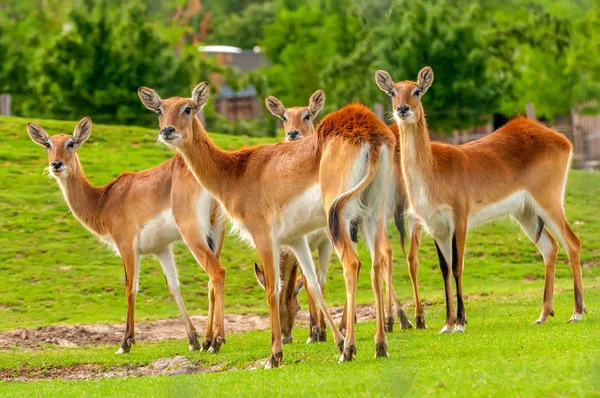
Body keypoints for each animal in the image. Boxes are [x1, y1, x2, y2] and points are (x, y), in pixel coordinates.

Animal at [25, 119, 229, 354]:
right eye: (48, 144)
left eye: (71, 143)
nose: (56, 164)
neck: (103, 200)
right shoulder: (161, 248)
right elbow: (173, 286)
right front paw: (193, 340)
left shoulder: (127, 245)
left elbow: (130, 287)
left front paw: (125, 343)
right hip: (216, 233)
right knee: (211, 281)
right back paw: (207, 341)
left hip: (192, 233)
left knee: (217, 272)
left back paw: (216, 342)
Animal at [138, 83, 396, 366]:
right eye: (160, 109)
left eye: (187, 108)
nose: (167, 130)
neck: (236, 173)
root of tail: (367, 129)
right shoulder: (295, 239)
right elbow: (312, 284)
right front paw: (333, 341)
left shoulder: (263, 236)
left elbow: (273, 288)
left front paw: (274, 355)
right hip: (372, 213)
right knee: (378, 264)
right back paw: (379, 346)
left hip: (339, 217)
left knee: (352, 264)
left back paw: (350, 349)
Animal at [262, 91, 426, 336]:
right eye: (284, 117)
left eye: (307, 115)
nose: (293, 133)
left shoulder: (317, 238)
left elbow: (312, 280)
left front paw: (318, 330)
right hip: (377, 214)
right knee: (386, 256)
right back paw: (403, 320)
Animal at [376, 66, 584, 332]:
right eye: (393, 92)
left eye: (417, 91)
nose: (402, 109)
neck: (433, 170)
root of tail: (561, 139)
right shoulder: (436, 227)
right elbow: (444, 269)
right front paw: (447, 324)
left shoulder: (459, 220)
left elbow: (457, 265)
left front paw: (460, 323)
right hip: (525, 212)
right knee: (551, 248)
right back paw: (543, 315)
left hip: (548, 200)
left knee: (572, 242)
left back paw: (577, 312)